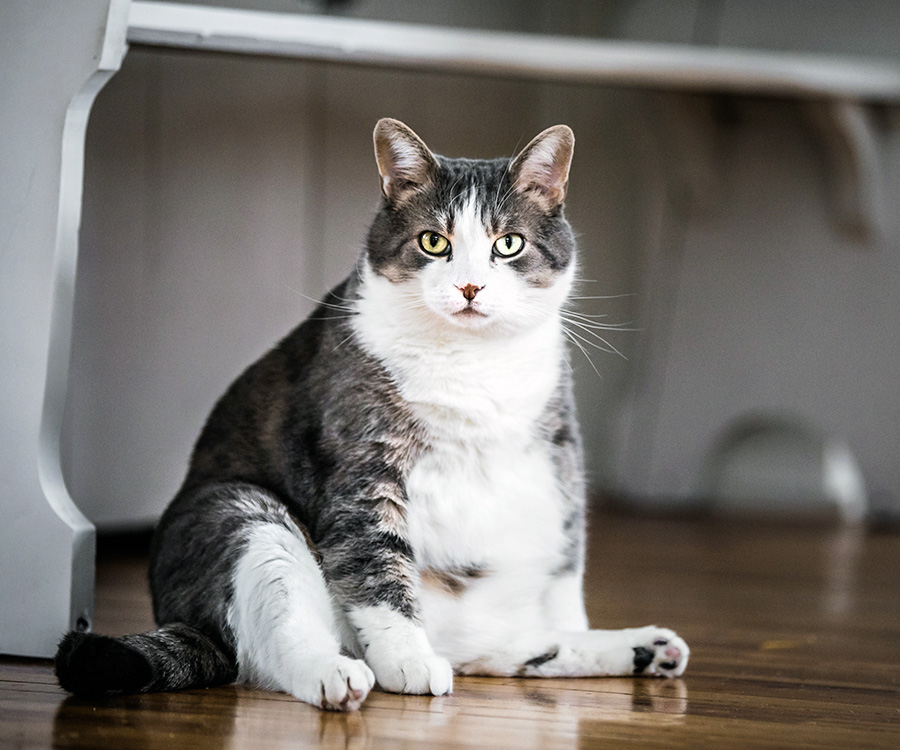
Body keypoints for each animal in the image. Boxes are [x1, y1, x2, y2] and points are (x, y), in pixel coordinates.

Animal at [54, 116, 688, 712]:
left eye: (509, 243)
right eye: (433, 242)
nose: (470, 287)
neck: (471, 364)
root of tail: (186, 621)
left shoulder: (558, 452)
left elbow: (565, 568)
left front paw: (580, 630)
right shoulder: (362, 464)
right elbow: (377, 565)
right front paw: (408, 659)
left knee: (504, 646)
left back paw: (643, 648)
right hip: (238, 512)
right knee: (270, 647)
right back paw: (338, 674)